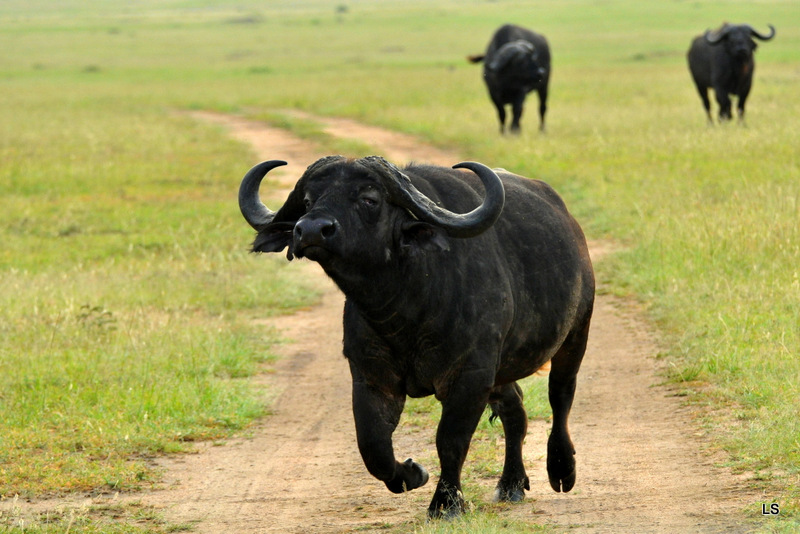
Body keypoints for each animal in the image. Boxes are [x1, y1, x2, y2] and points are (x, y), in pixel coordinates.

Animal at [239, 156, 592, 520]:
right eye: (308, 200)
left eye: (370, 199)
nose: (310, 230)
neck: (407, 308)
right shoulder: (371, 377)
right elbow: (373, 446)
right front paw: (412, 473)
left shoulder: (470, 374)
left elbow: (450, 440)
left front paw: (446, 504)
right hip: (502, 369)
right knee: (516, 409)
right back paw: (511, 483)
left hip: (575, 335)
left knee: (560, 397)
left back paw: (562, 469)